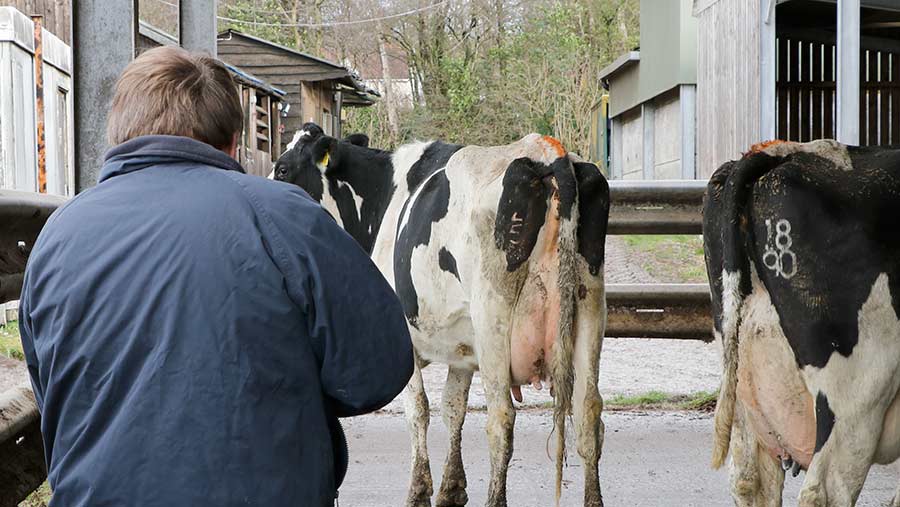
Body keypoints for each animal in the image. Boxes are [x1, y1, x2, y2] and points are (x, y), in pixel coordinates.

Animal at [274, 124, 612, 507]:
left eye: (283, 169)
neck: (384, 196)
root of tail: (546, 152)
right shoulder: (462, 346)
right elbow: (453, 408)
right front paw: (451, 489)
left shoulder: (405, 340)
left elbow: (418, 410)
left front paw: (419, 491)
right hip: (589, 307)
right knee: (588, 413)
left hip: (493, 316)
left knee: (501, 419)